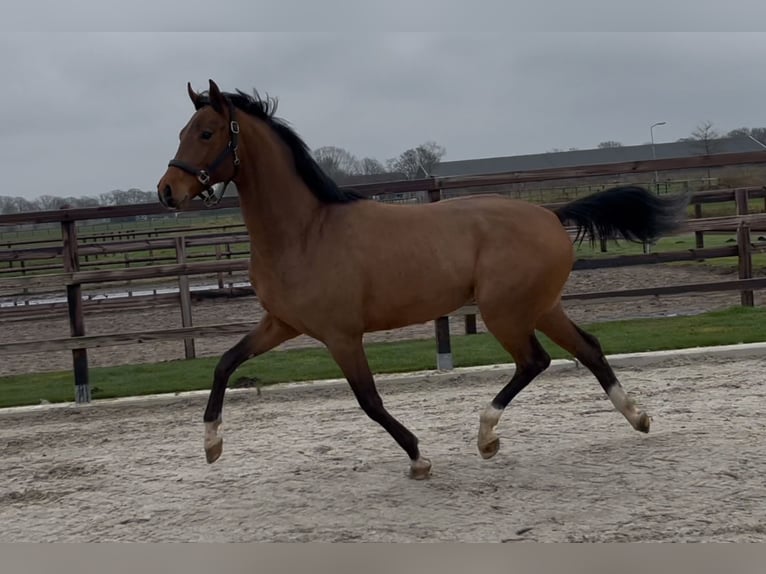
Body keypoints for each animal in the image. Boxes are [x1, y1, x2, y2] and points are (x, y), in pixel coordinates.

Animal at [156, 79, 688, 480]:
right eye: (181, 130)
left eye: (206, 133)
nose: (167, 191)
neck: (305, 231)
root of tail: (551, 215)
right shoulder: (280, 325)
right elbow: (224, 364)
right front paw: (211, 445)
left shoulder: (341, 335)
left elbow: (369, 400)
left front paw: (418, 458)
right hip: (540, 306)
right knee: (589, 348)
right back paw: (638, 417)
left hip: (505, 311)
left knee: (534, 361)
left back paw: (487, 436)